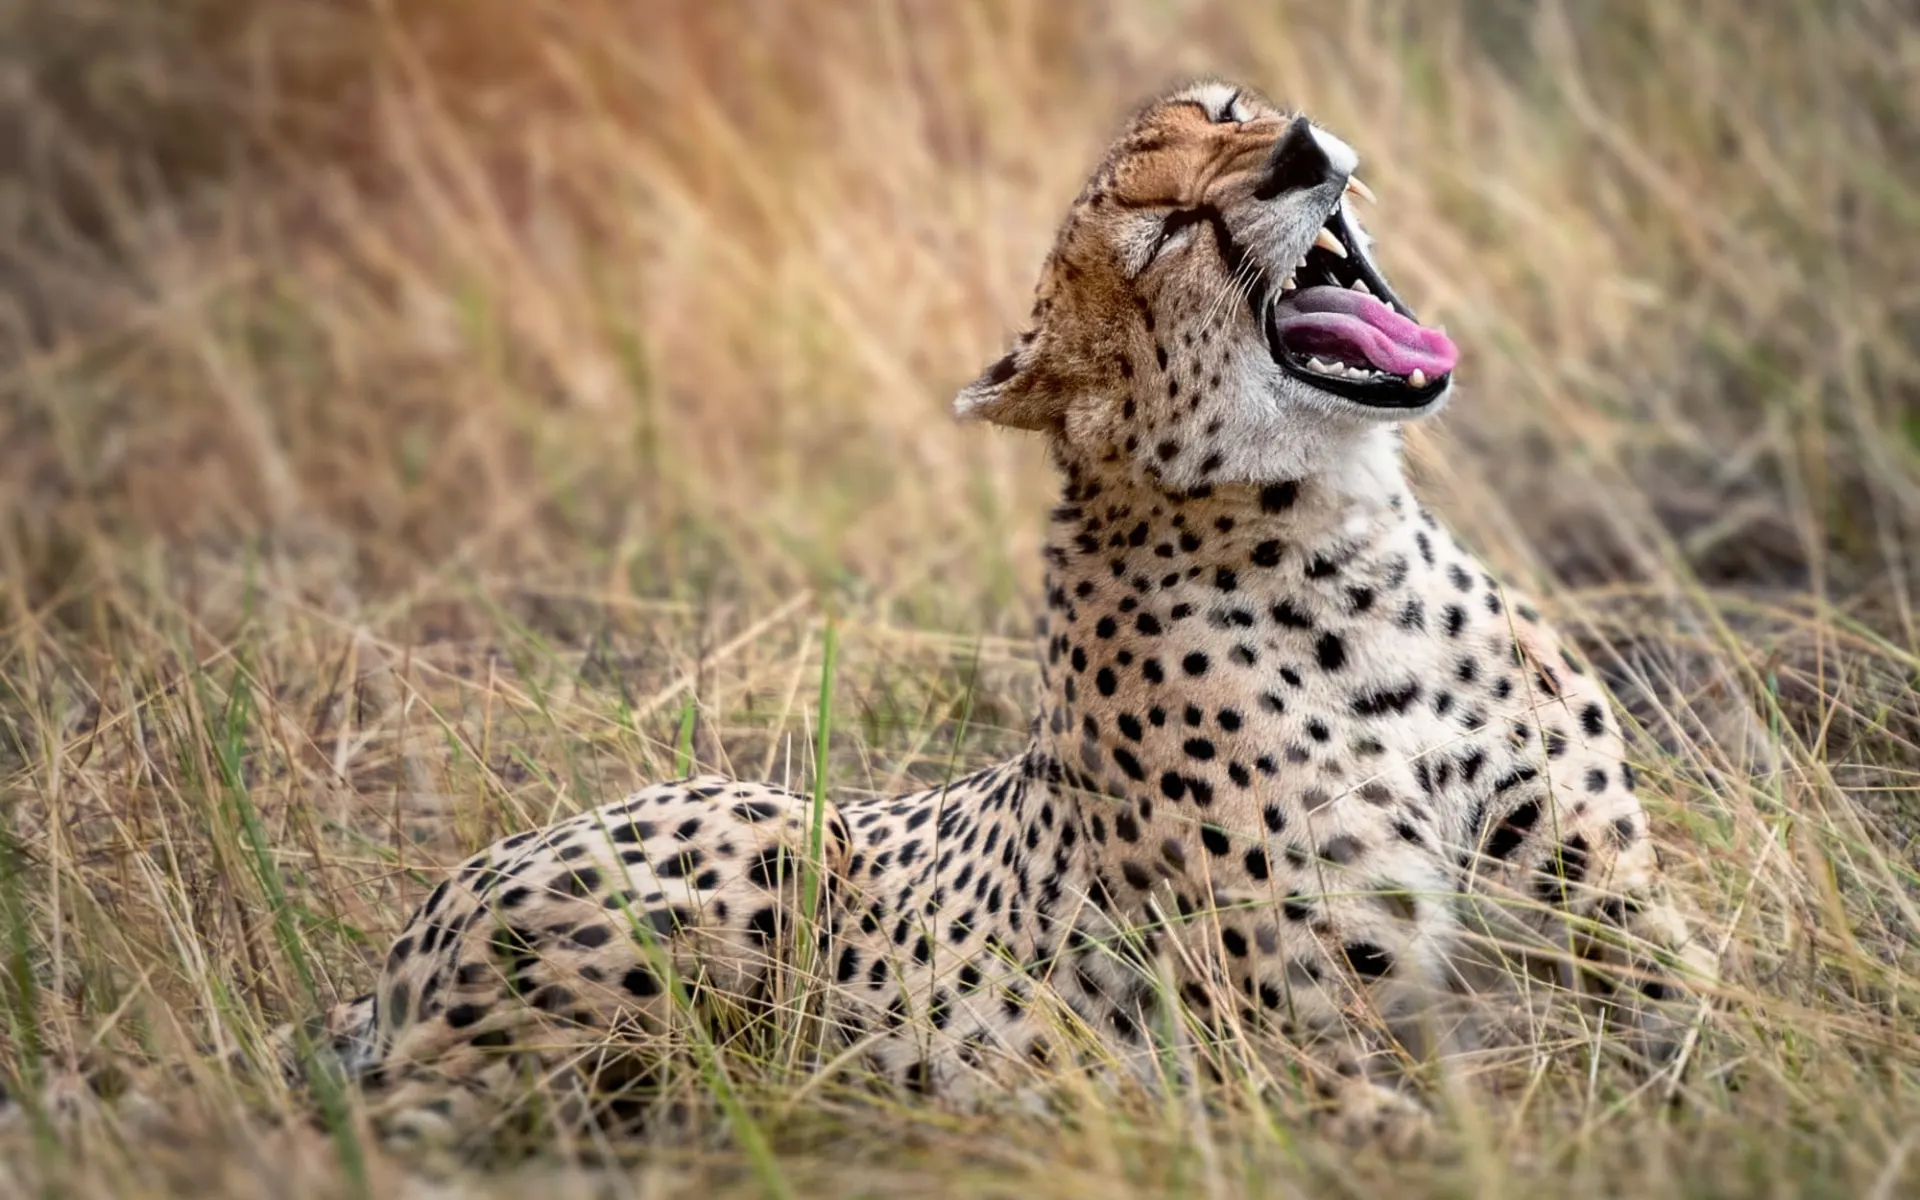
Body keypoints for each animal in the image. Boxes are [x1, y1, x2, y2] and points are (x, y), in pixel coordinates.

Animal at [6, 80, 1721, 1157]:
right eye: (1165, 231)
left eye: (1233, 113)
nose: (1303, 144)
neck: (1347, 549)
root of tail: (399, 951)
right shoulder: (1287, 1046)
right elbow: (1428, 1115)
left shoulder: (1606, 908)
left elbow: (1713, 1009)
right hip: (728, 870)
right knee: (446, 1115)